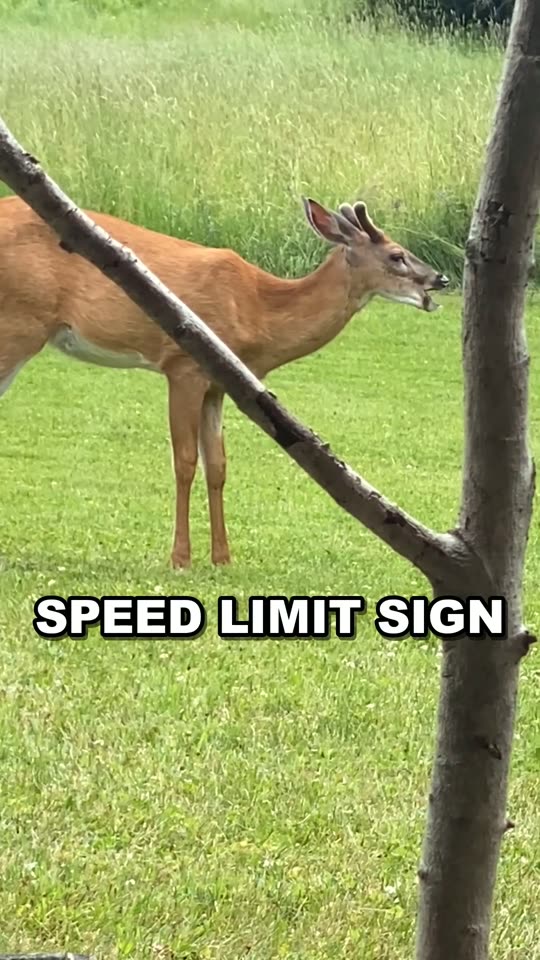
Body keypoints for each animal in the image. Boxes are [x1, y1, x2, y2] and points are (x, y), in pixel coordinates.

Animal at [0, 194, 449, 568]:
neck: (258, 308)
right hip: (20, 323)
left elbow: (217, 465)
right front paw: (180, 558)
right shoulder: (183, 365)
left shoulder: (218, 383)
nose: (440, 279)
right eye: (396, 255)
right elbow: (185, 462)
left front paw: (222, 557)